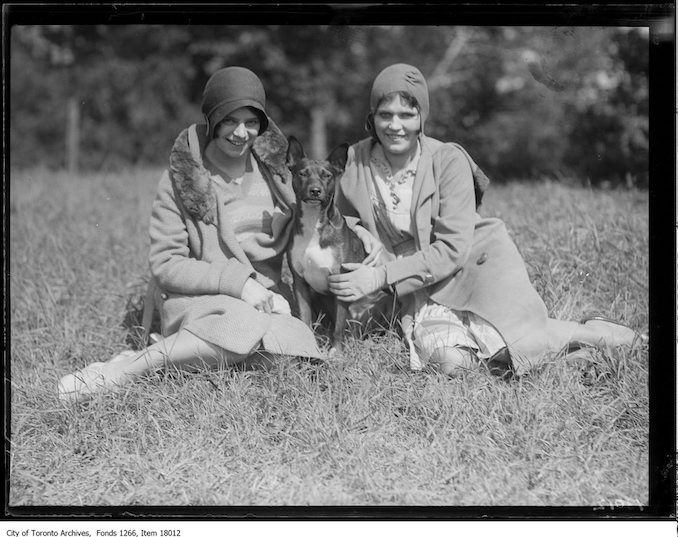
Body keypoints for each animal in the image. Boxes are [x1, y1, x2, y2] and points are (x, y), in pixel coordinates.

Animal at [286, 136, 372, 354]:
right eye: (302, 173)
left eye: (327, 175)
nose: (315, 190)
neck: (314, 223)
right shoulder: (299, 283)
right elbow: (305, 319)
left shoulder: (341, 282)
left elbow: (339, 326)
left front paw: (336, 352)